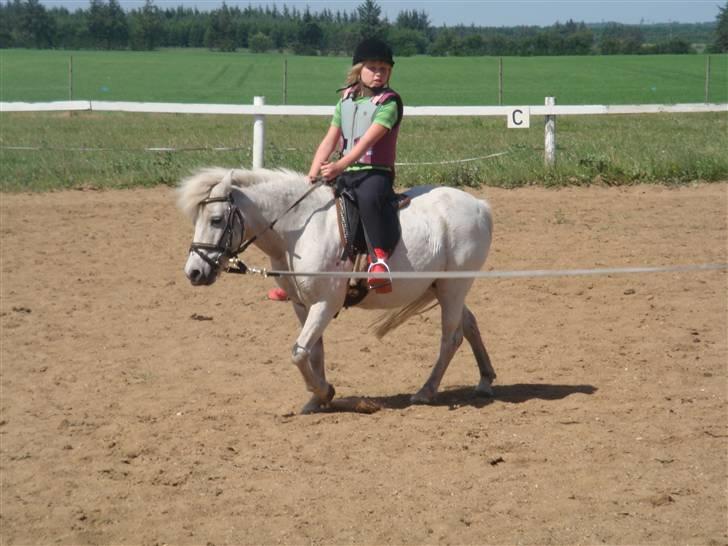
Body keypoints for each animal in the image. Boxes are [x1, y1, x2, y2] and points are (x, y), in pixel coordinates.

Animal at [178, 167, 494, 412]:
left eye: (216, 219)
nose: (194, 271)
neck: (301, 229)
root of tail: (479, 205)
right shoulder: (302, 304)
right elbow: (313, 351)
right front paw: (317, 400)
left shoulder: (325, 304)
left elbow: (298, 351)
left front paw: (324, 391)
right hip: (442, 287)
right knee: (469, 324)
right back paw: (485, 380)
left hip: (454, 286)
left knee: (451, 338)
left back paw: (426, 391)